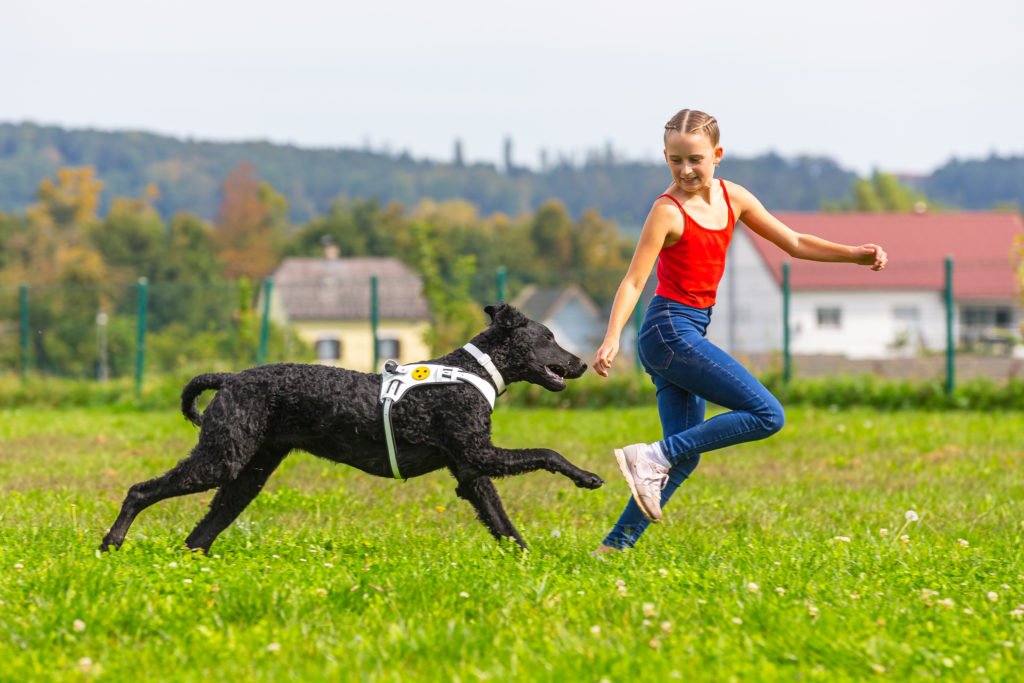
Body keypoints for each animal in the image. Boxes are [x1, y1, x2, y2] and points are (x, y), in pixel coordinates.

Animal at [99, 305, 602, 557]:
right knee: (140, 491)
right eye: (549, 337)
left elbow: (504, 525)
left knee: (199, 535)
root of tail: (232, 378)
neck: (469, 371)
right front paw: (586, 476)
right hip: (220, 461)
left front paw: (528, 562)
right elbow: (547, 453)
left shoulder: (471, 473)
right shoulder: (481, 455)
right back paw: (111, 543)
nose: (581, 363)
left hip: (246, 476)